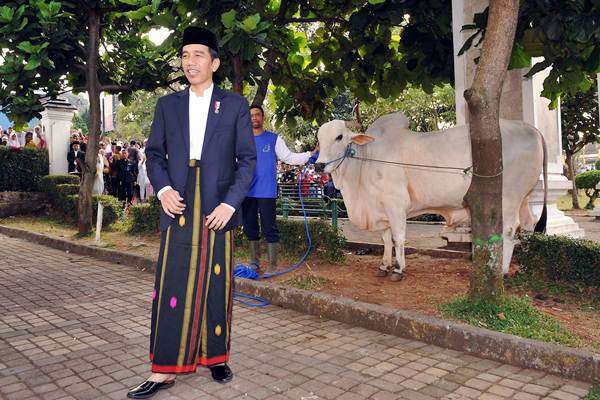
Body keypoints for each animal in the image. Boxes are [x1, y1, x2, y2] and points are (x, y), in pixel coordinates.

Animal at [316, 112, 548, 282]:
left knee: (510, 229)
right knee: (528, 223)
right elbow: (385, 239)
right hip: (524, 197)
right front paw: (383, 266)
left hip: (509, 196)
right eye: (319, 139)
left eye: (339, 137)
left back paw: (501, 271)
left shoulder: (396, 205)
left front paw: (398, 270)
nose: (318, 165)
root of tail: (532, 129)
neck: (367, 159)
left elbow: (398, 238)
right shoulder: (381, 208)